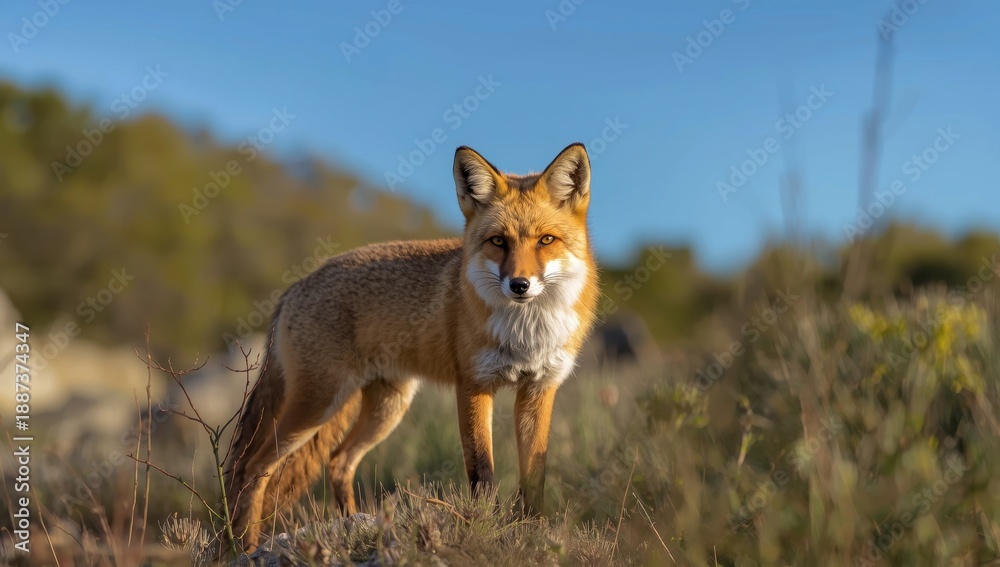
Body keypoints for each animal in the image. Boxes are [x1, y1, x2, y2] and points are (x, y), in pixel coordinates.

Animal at [224, 143, 599, 550]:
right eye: (498, 241)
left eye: (546, 240)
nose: (519, 285)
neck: (527, 332)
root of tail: (292, 288)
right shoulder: (473, 385)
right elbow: (481, 472)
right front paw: (483, 528)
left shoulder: (539, 389)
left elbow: (535, 475)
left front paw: (533, 534)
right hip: (317, 406)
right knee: (252, 468)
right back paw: (246, 545)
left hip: (385, 408)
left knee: (339, 460)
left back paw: (350, 523)